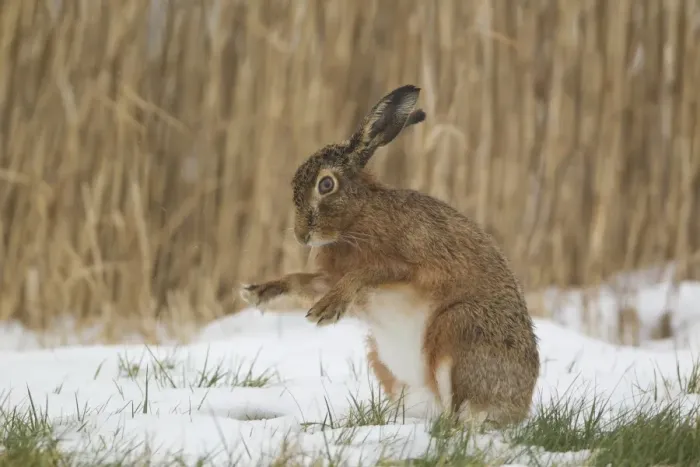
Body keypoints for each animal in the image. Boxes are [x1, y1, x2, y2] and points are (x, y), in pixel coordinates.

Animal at [239, 85, 540, 428]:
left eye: (326, 184)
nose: (302, 236)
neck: (357, 217)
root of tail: (518, 406)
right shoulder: (329, 278)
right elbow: (300, 279)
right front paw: (257, 293)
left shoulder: (405, 265)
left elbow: (363, 273)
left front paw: (327, 310)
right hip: (383, 359)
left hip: (458, 328)